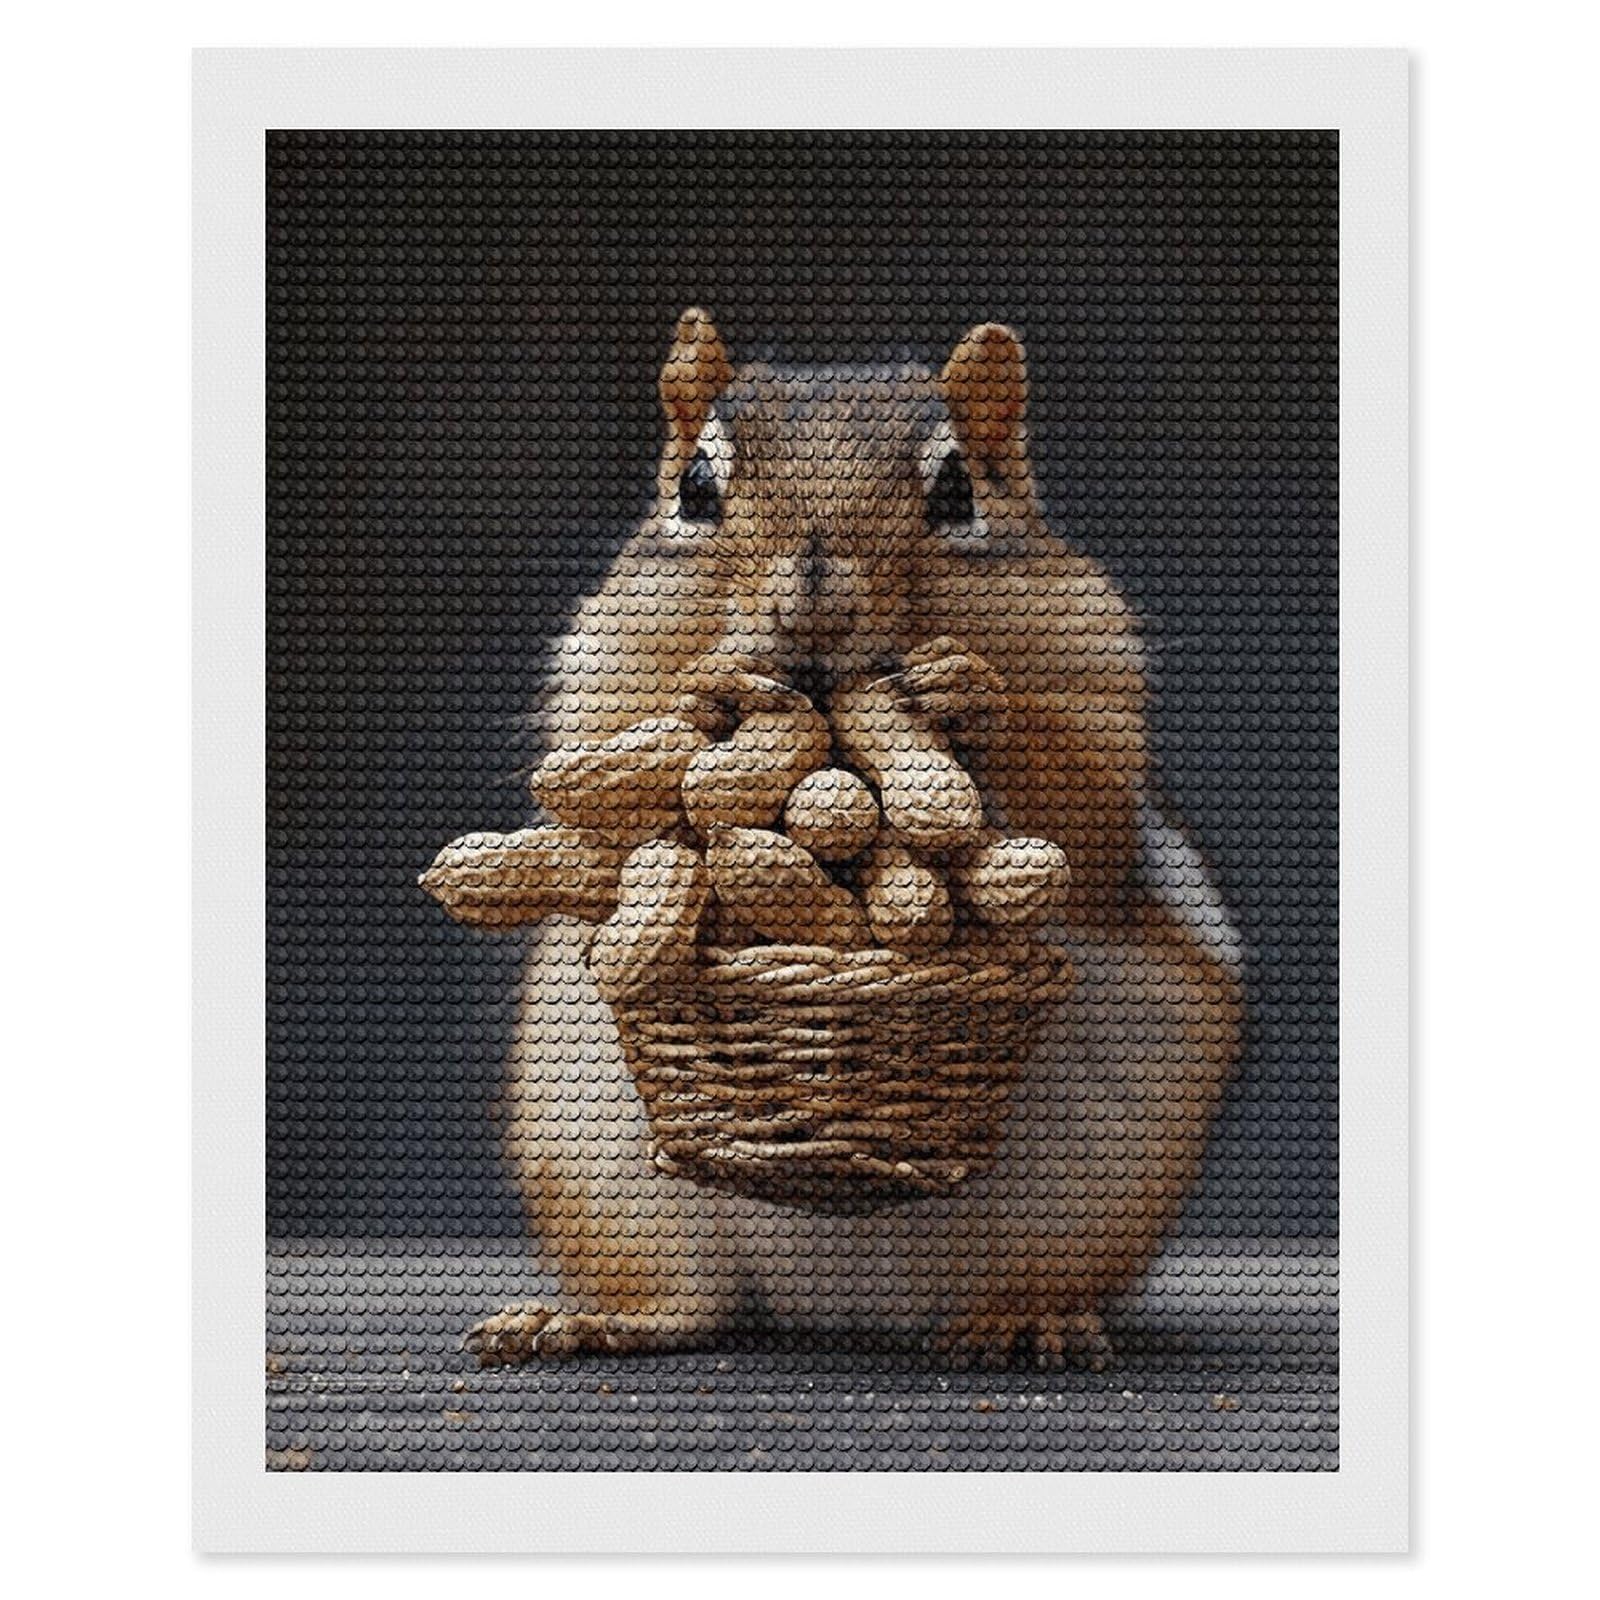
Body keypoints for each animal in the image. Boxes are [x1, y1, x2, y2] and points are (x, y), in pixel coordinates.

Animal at [464, 309, 1245, 1370]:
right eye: (694, 490)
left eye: (957, 493)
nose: (813, 608)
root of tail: (840, 1299)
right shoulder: (599, 684)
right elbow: (615, 761)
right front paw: (712, 688)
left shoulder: (1099, 695)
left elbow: (1079, 800)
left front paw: (971, 697)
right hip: (596, 1153)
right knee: (687, 1305)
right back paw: (588, 1320)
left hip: (1115, 1153)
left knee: (1042, 1268)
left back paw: (1025, 1319)